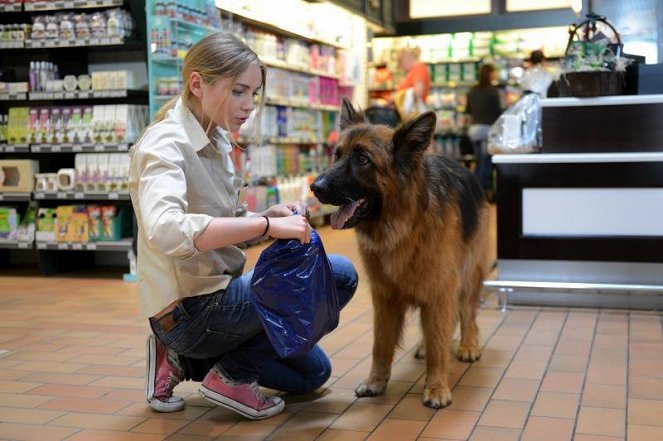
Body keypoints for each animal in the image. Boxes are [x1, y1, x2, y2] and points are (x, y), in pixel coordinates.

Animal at [312, 98, 492, 408]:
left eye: (362, 159)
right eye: (337, 155)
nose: (315, 187)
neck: (403, 226)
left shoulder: (439, 290)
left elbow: (439, 341)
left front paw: (437, 386)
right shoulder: (385, 297)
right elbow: (381, 344)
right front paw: (376, 381)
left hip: (468, 274)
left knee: (467, 312)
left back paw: (468, 344)